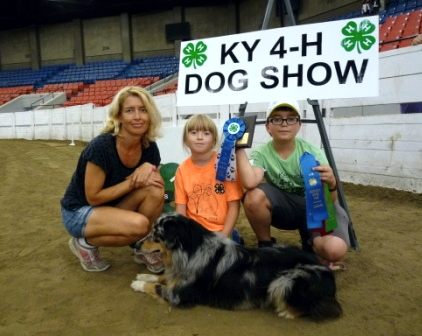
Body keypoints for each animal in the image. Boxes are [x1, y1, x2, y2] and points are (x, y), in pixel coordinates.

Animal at [132, 213, 342, 320]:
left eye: (156, 235)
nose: (135, 245)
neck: (189, 251)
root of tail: (327, 272)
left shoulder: (179, 295)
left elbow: (157, 286)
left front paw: (138, 284)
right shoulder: (177, 275)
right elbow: (162, 277)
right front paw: (143, 276)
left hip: (285, 280)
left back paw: (286, 311)